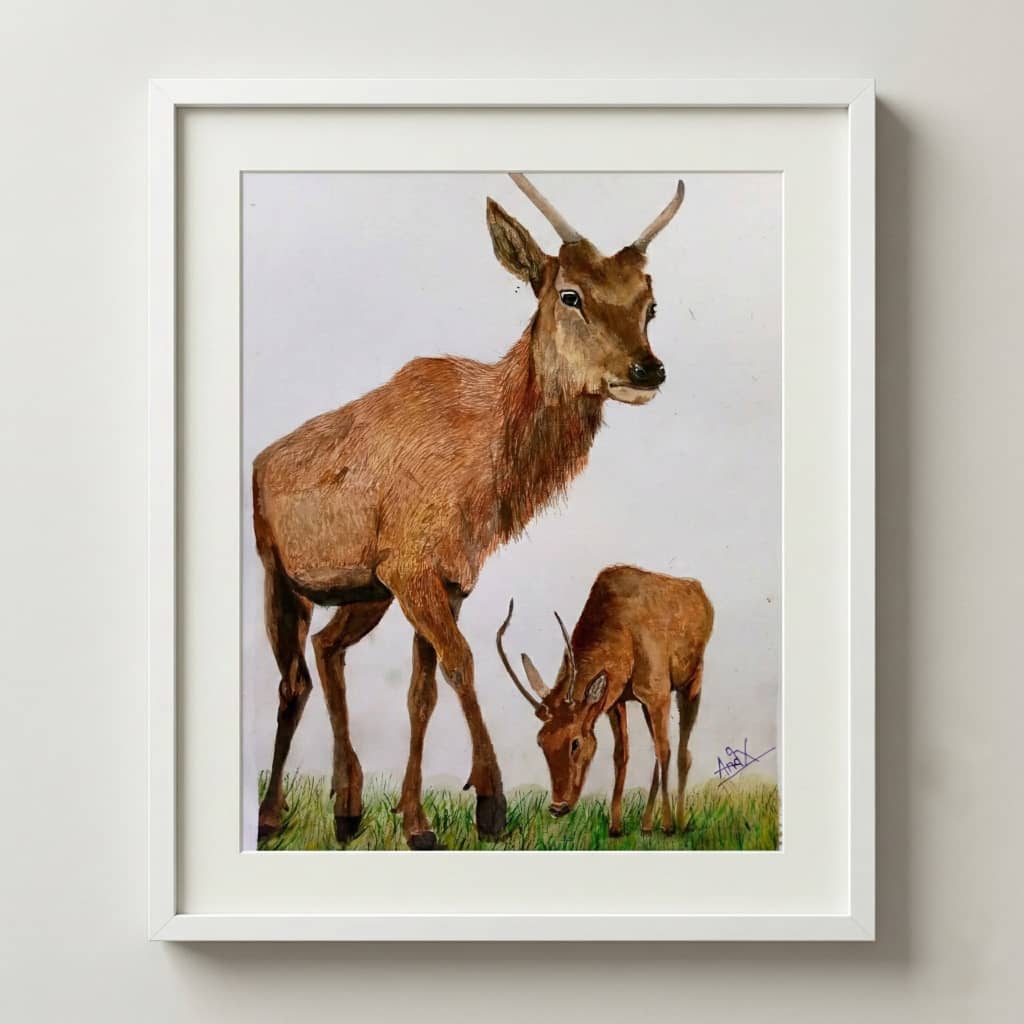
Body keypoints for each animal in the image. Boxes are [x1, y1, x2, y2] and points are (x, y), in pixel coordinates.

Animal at [253, 175, 686, 850]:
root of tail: (259, 460)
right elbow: (464, 664)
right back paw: (273, 814)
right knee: (291, 679)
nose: (648, 368)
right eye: (570, 294)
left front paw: (414, 819)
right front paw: (490, 804)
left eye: (651, 303)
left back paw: (347, 807)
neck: (484, 485)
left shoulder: (447, 577)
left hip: (363, 593)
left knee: (326, 649)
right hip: (279, 573)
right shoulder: (410, 568)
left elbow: (422, 693)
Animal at [498, 565, 714, 837]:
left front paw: (667, 825)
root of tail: (702, 595)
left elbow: (665, 751)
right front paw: (615, 826)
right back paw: (646, 824)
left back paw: (680, 822)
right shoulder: (616, 701)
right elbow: (621, 754)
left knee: (682, 752)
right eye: (540, 741)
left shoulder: (658, 692)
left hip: (692, 682)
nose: (557, 807)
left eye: (575, 743)